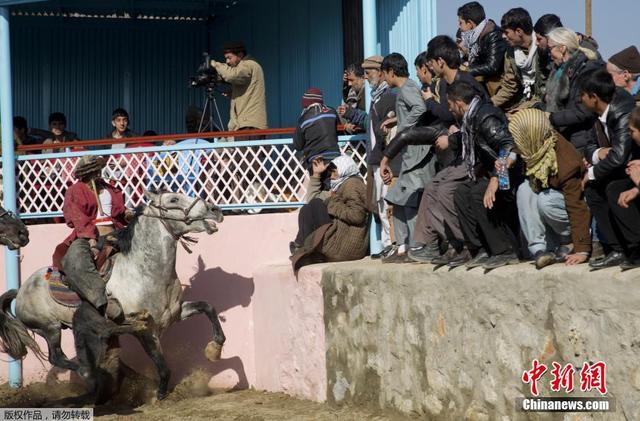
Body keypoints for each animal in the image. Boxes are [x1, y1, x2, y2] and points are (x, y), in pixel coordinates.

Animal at [0, 190, 228, 400]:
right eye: (173, 199)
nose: (215, 210)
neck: (145, 272)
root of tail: (21, 290)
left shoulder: (176, 313)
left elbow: (208, 307)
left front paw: (214, 348)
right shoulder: (147, 330)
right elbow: (162, 366)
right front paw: (159, 394)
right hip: (50, 328)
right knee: (56, 357)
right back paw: (91, 374)